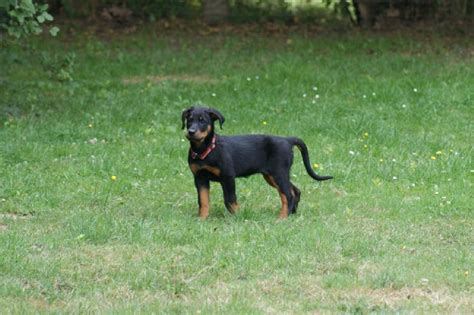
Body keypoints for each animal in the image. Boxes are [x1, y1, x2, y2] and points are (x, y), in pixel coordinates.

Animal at [181, 106, 334, 220]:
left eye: (203, 121)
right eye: (189, 120)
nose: (191, 131)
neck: (205, 150)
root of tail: (287, 140)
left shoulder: (228, 177)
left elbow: (229, 200)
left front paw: (238, 216)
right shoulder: (200, 178)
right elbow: (203, 200)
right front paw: (202, 218)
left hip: (278, 173)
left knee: (288, 195)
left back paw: (282, 218)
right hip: (272, 176)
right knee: (294, 191)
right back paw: (291, 214)